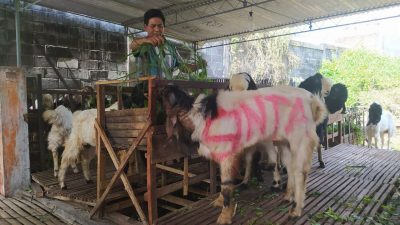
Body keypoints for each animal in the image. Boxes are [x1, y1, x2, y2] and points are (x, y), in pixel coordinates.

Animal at [161, 84, 326, 223]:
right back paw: (287, 197)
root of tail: (312, 101)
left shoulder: (227, 153)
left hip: (301, 140)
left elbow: (226, 186)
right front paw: (218, 202)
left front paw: (224, 217)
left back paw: (295, 210)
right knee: (290, 168)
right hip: (284, 142)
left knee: (300, 173)